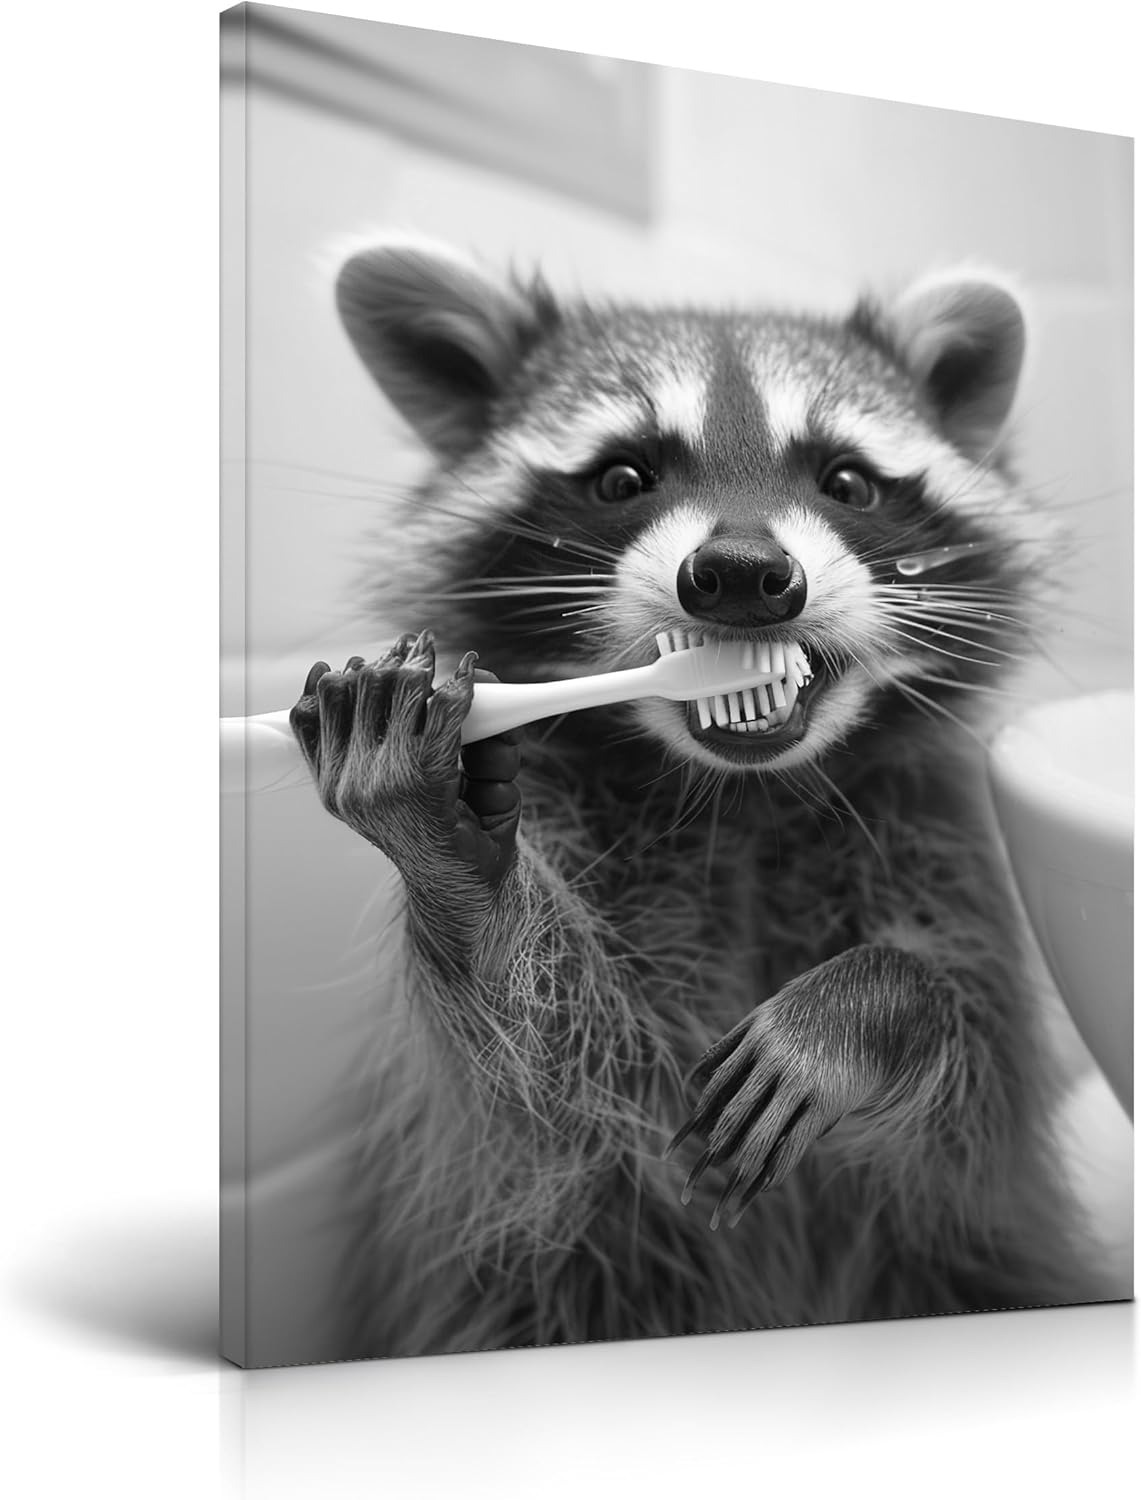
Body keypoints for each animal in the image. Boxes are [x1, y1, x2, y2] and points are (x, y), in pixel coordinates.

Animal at [289, 239, 1106, 1358]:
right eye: (622, 476)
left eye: (846, 480)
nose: (743, 573)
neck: (738, 796)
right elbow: (548, 1086)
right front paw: (458, 870)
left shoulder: (941, 850)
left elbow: (966, 1111)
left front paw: (871, 1004)